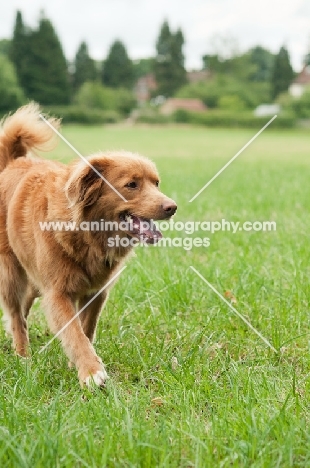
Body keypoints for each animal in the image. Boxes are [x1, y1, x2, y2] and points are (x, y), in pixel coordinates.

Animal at [0, 103, 176, 388]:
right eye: (132, 184)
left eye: (156, 182)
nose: (172, 207)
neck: (89, 236)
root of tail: (13, 163)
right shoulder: (57, 293)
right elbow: (74, 333)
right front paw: (91, 372)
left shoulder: (96, 291)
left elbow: (86, 329)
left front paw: (79, 364)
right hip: (11, 273)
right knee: (16, 315)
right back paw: (22, 355)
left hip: (35, 278)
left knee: (24, 306)